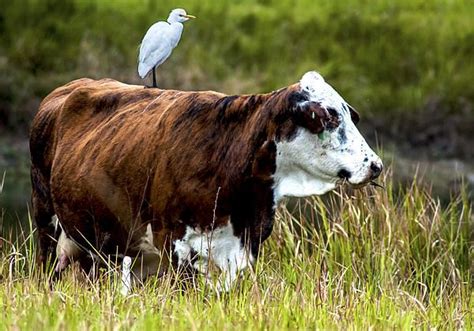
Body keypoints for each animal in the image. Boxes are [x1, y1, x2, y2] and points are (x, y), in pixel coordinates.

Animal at [29, 71, 384, 290]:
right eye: (328, 117)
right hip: (46, 219)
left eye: (349, 115)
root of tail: (69, 89)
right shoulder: (173, 242)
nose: (376, 165)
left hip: (100, 244)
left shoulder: (245, 246)